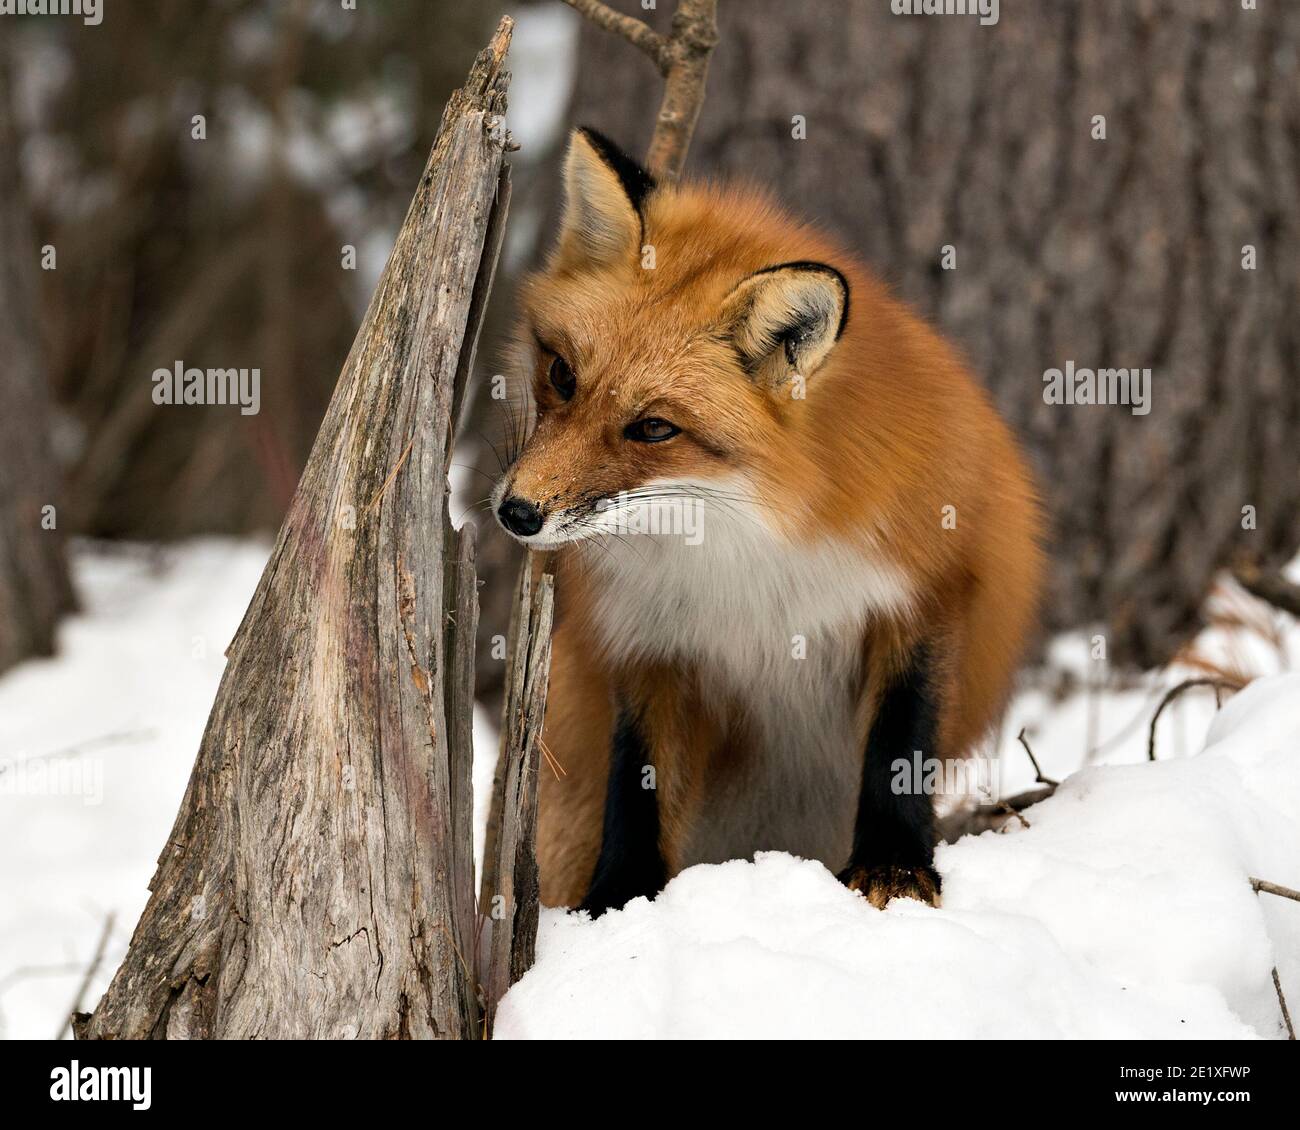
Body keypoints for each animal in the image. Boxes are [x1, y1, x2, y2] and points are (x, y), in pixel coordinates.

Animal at [491, 125, 1040, 915]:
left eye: (653, 428)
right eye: (563, 375)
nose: (517, 512)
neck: (751, 546)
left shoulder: (926, 594)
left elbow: (899, 749)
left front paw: (895, 869)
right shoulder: (650, 641)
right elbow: (637, 789)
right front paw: (618, 905)